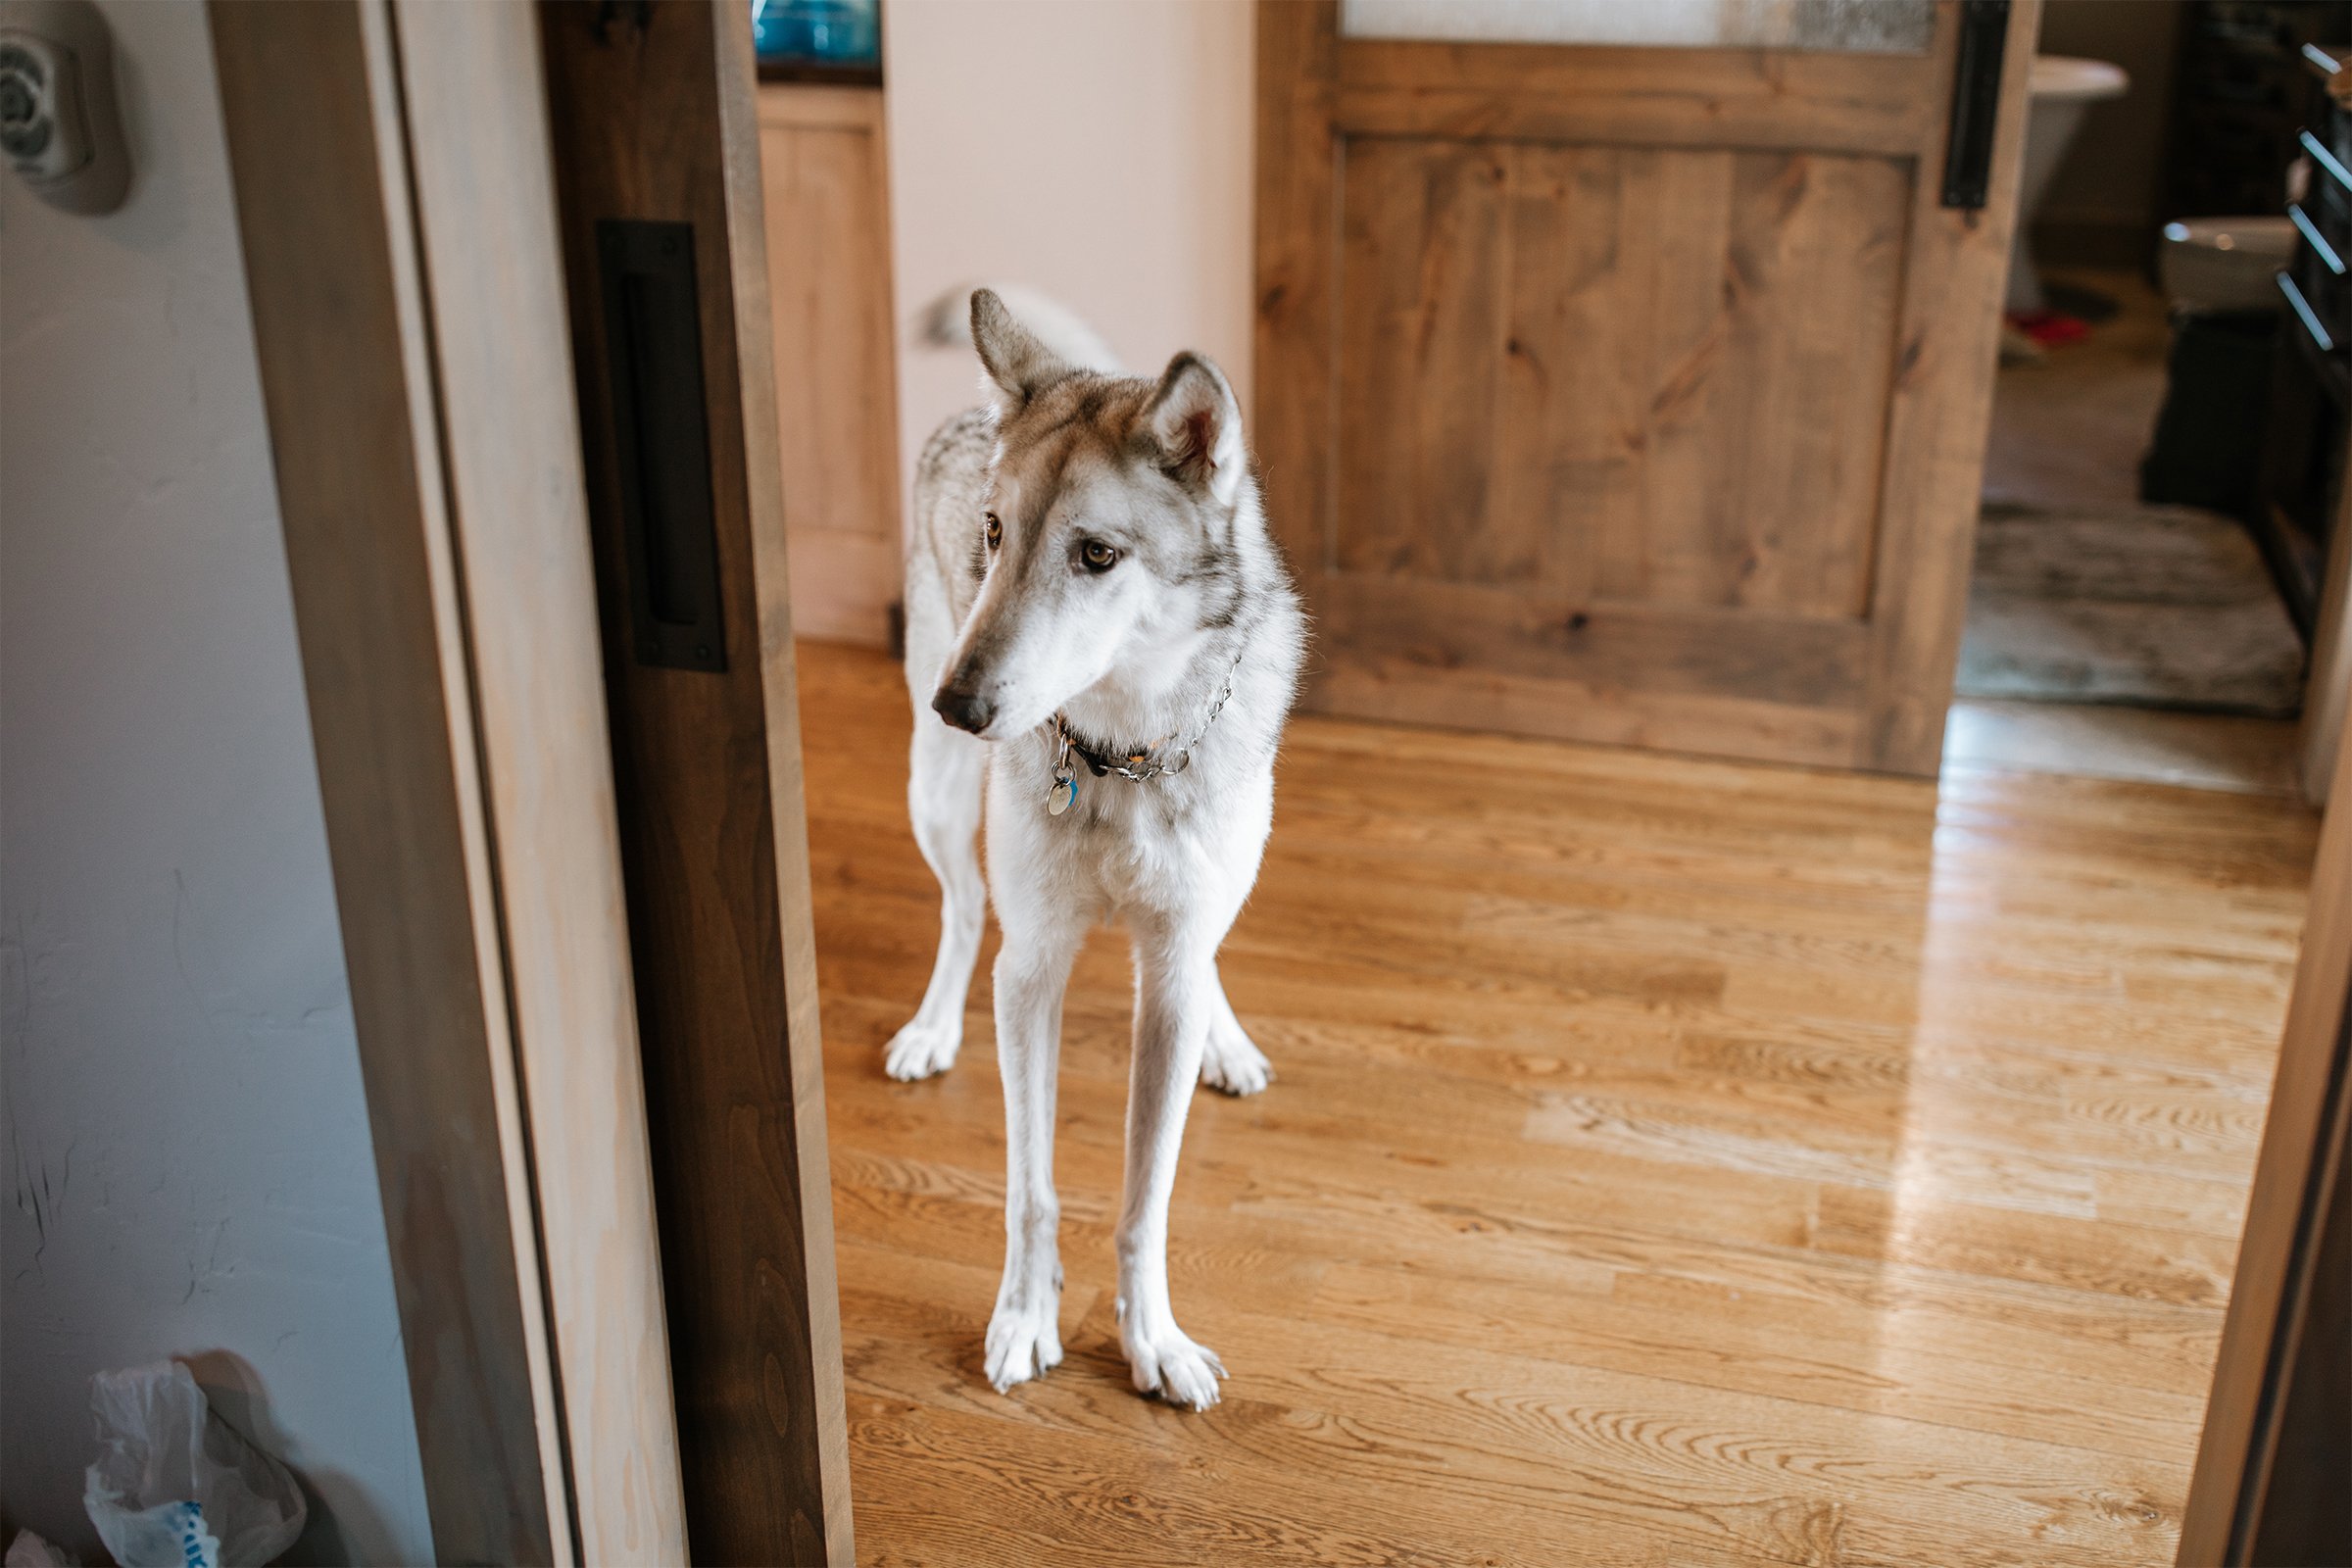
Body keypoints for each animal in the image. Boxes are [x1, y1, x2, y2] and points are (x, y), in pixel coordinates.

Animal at [884, 287, 1307, 1419]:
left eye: (1098, 556)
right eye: (995, 534)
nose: (958, 703)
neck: (1126, 757)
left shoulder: (1169, 972)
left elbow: (1144, 1197)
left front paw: (1152, 1340)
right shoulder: (1032, 971)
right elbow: (1031, 1188)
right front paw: (1027, 1319)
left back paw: (1227, 1040)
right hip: (936, 798)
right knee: (959, 911)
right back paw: (931, 1028)